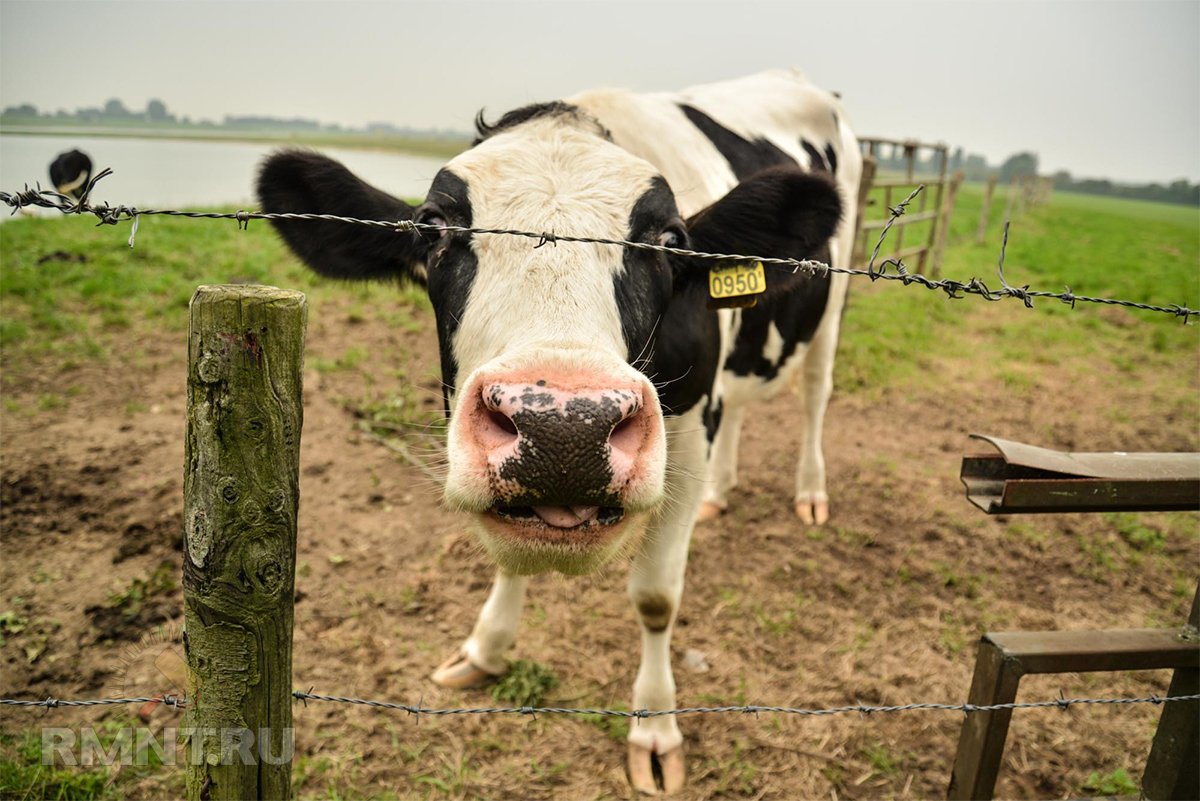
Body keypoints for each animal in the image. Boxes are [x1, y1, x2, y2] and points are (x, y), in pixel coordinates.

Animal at [260, 68, 864, 796]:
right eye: (432, 228)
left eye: (670, 240)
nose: (563, 430)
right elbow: (507, 554)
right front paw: (485, 648)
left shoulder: (688, 437)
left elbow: (656, 598)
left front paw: (655, 729)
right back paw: (722, 494)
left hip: (833, 301)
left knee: (815, 394)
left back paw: (811, 493)